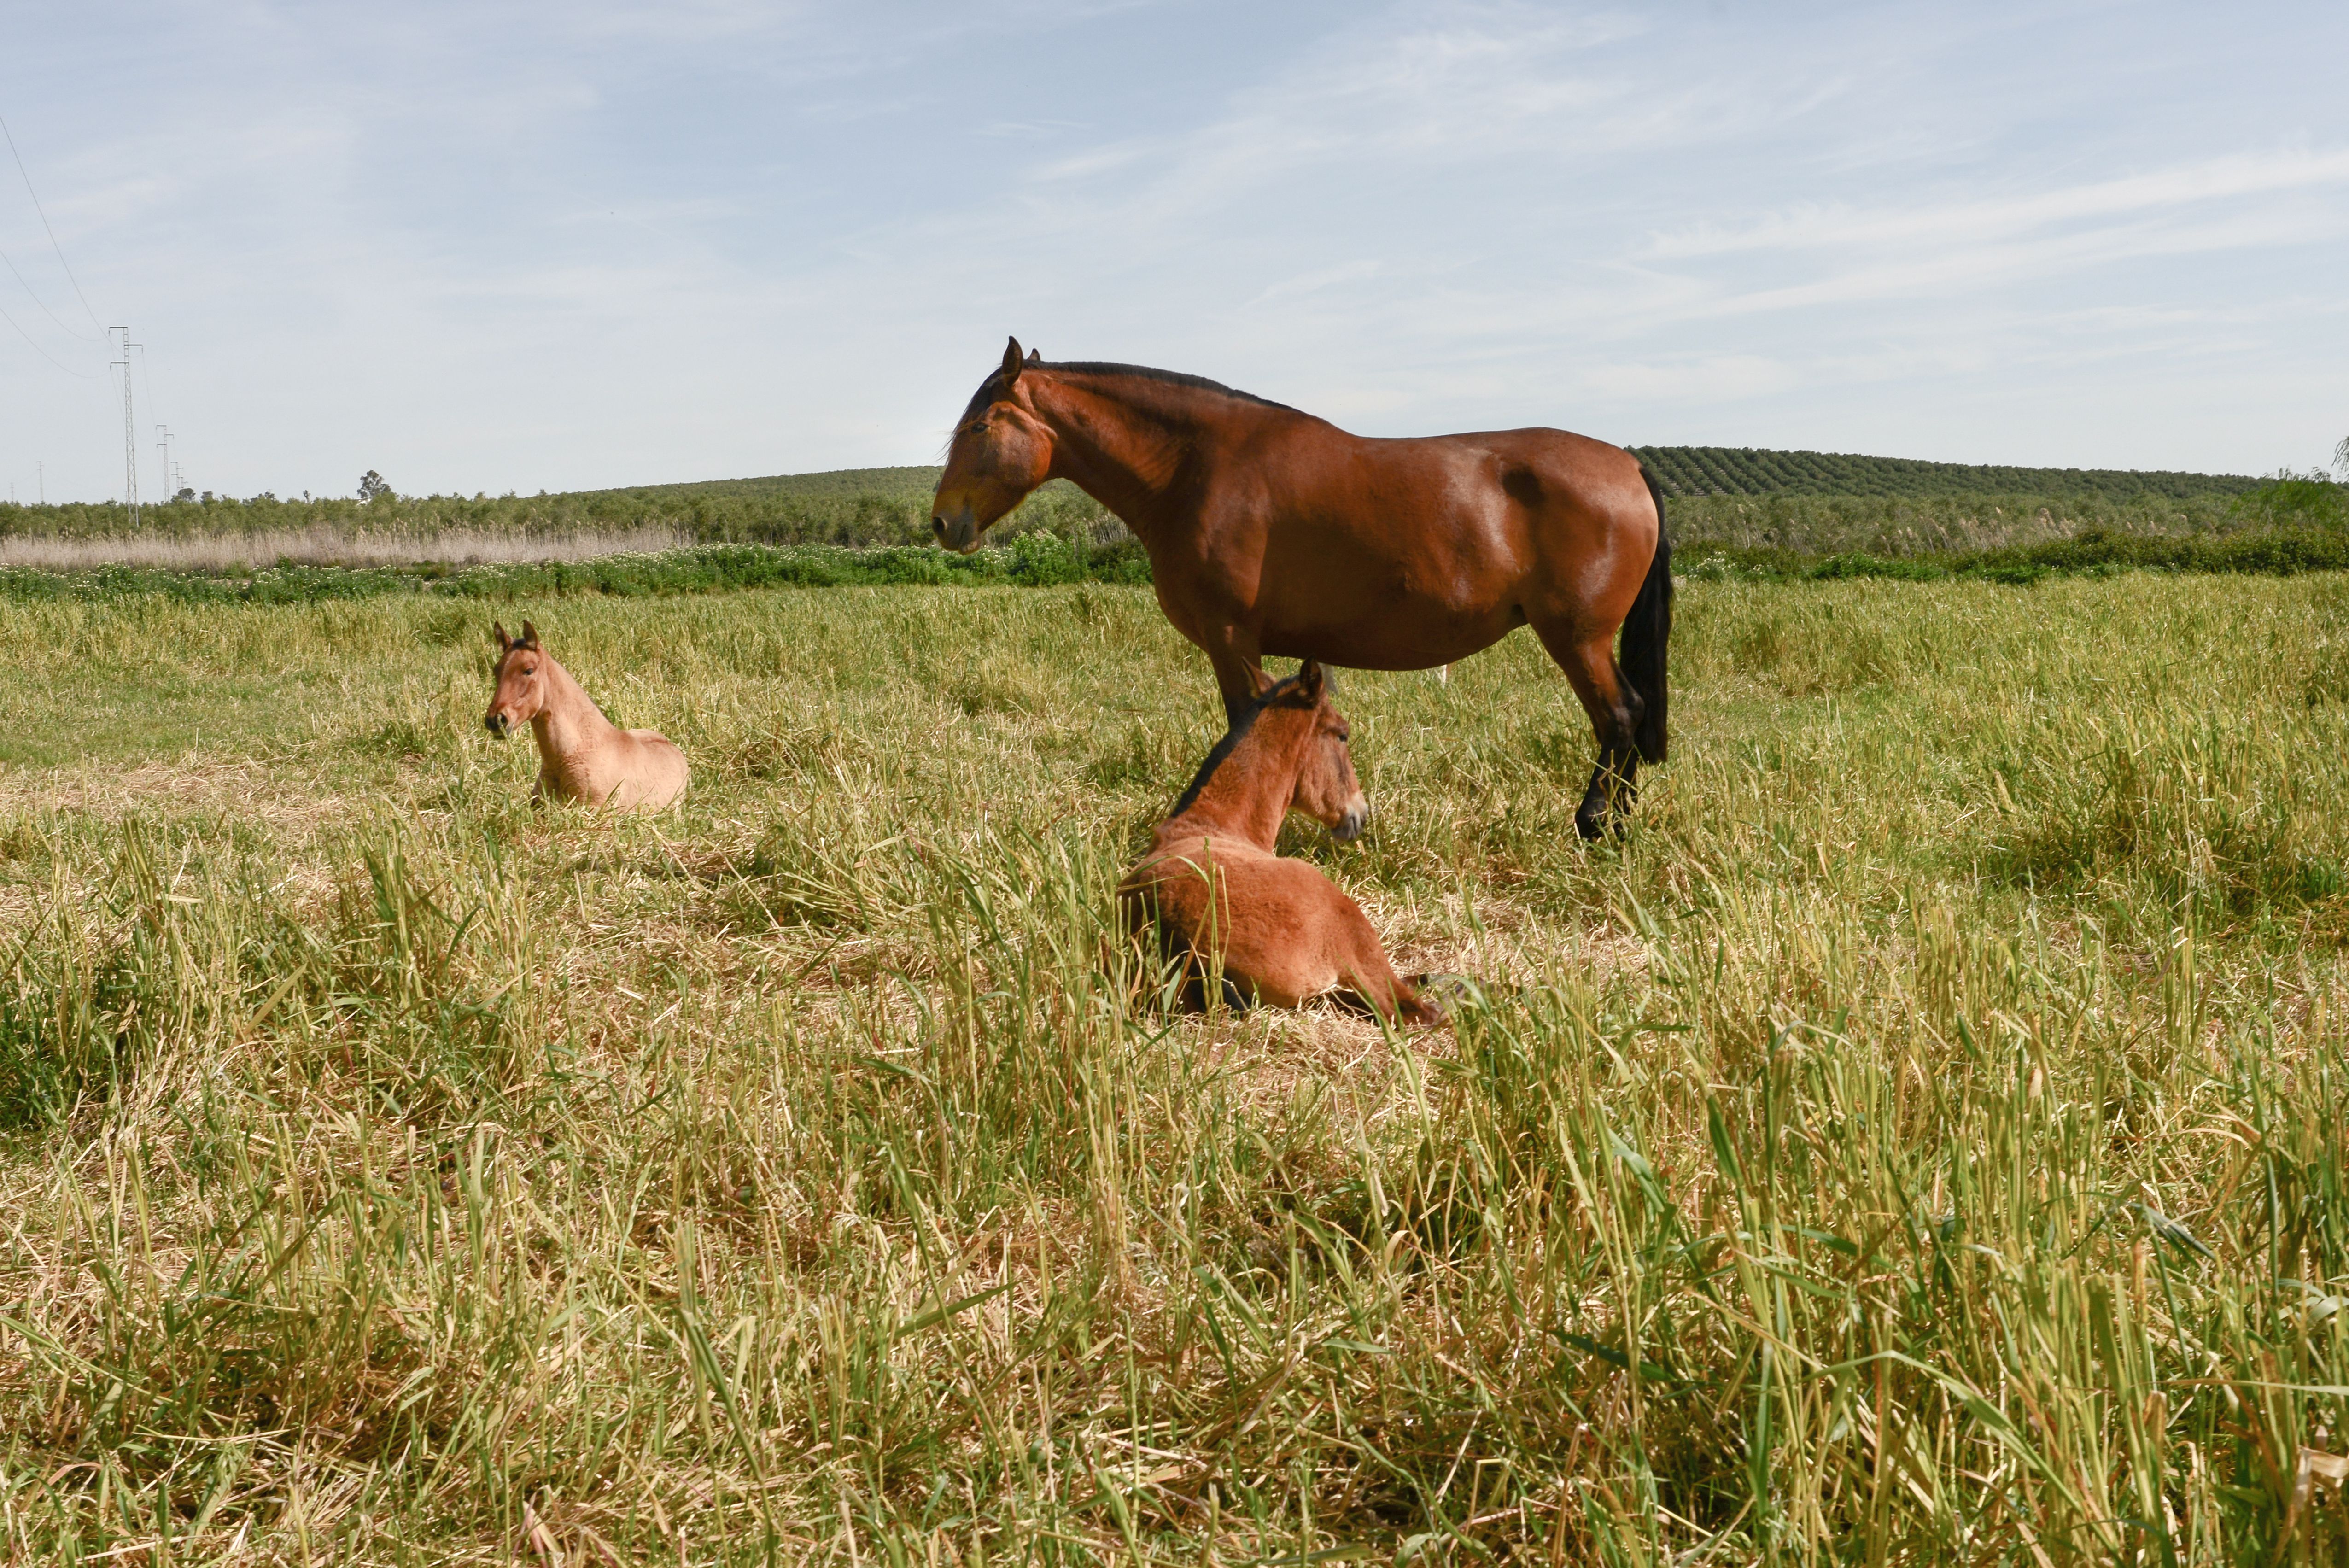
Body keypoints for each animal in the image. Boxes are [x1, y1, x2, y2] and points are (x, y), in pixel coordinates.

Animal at [930, 338, 1672, 842]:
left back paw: (1594, 825)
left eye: (980, 427)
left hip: (1578, 638)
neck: (1194, 468)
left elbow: (1245, 725)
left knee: (1620, 717)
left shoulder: (1232, 637)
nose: (943, 521)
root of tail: (1628, 466)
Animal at [1122, 663, 1447, 1030]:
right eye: (1342, 735)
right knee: (1411, 1011)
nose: (1360, 814)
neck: (1215, 823)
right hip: (1349, 928)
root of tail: (1164, 918)